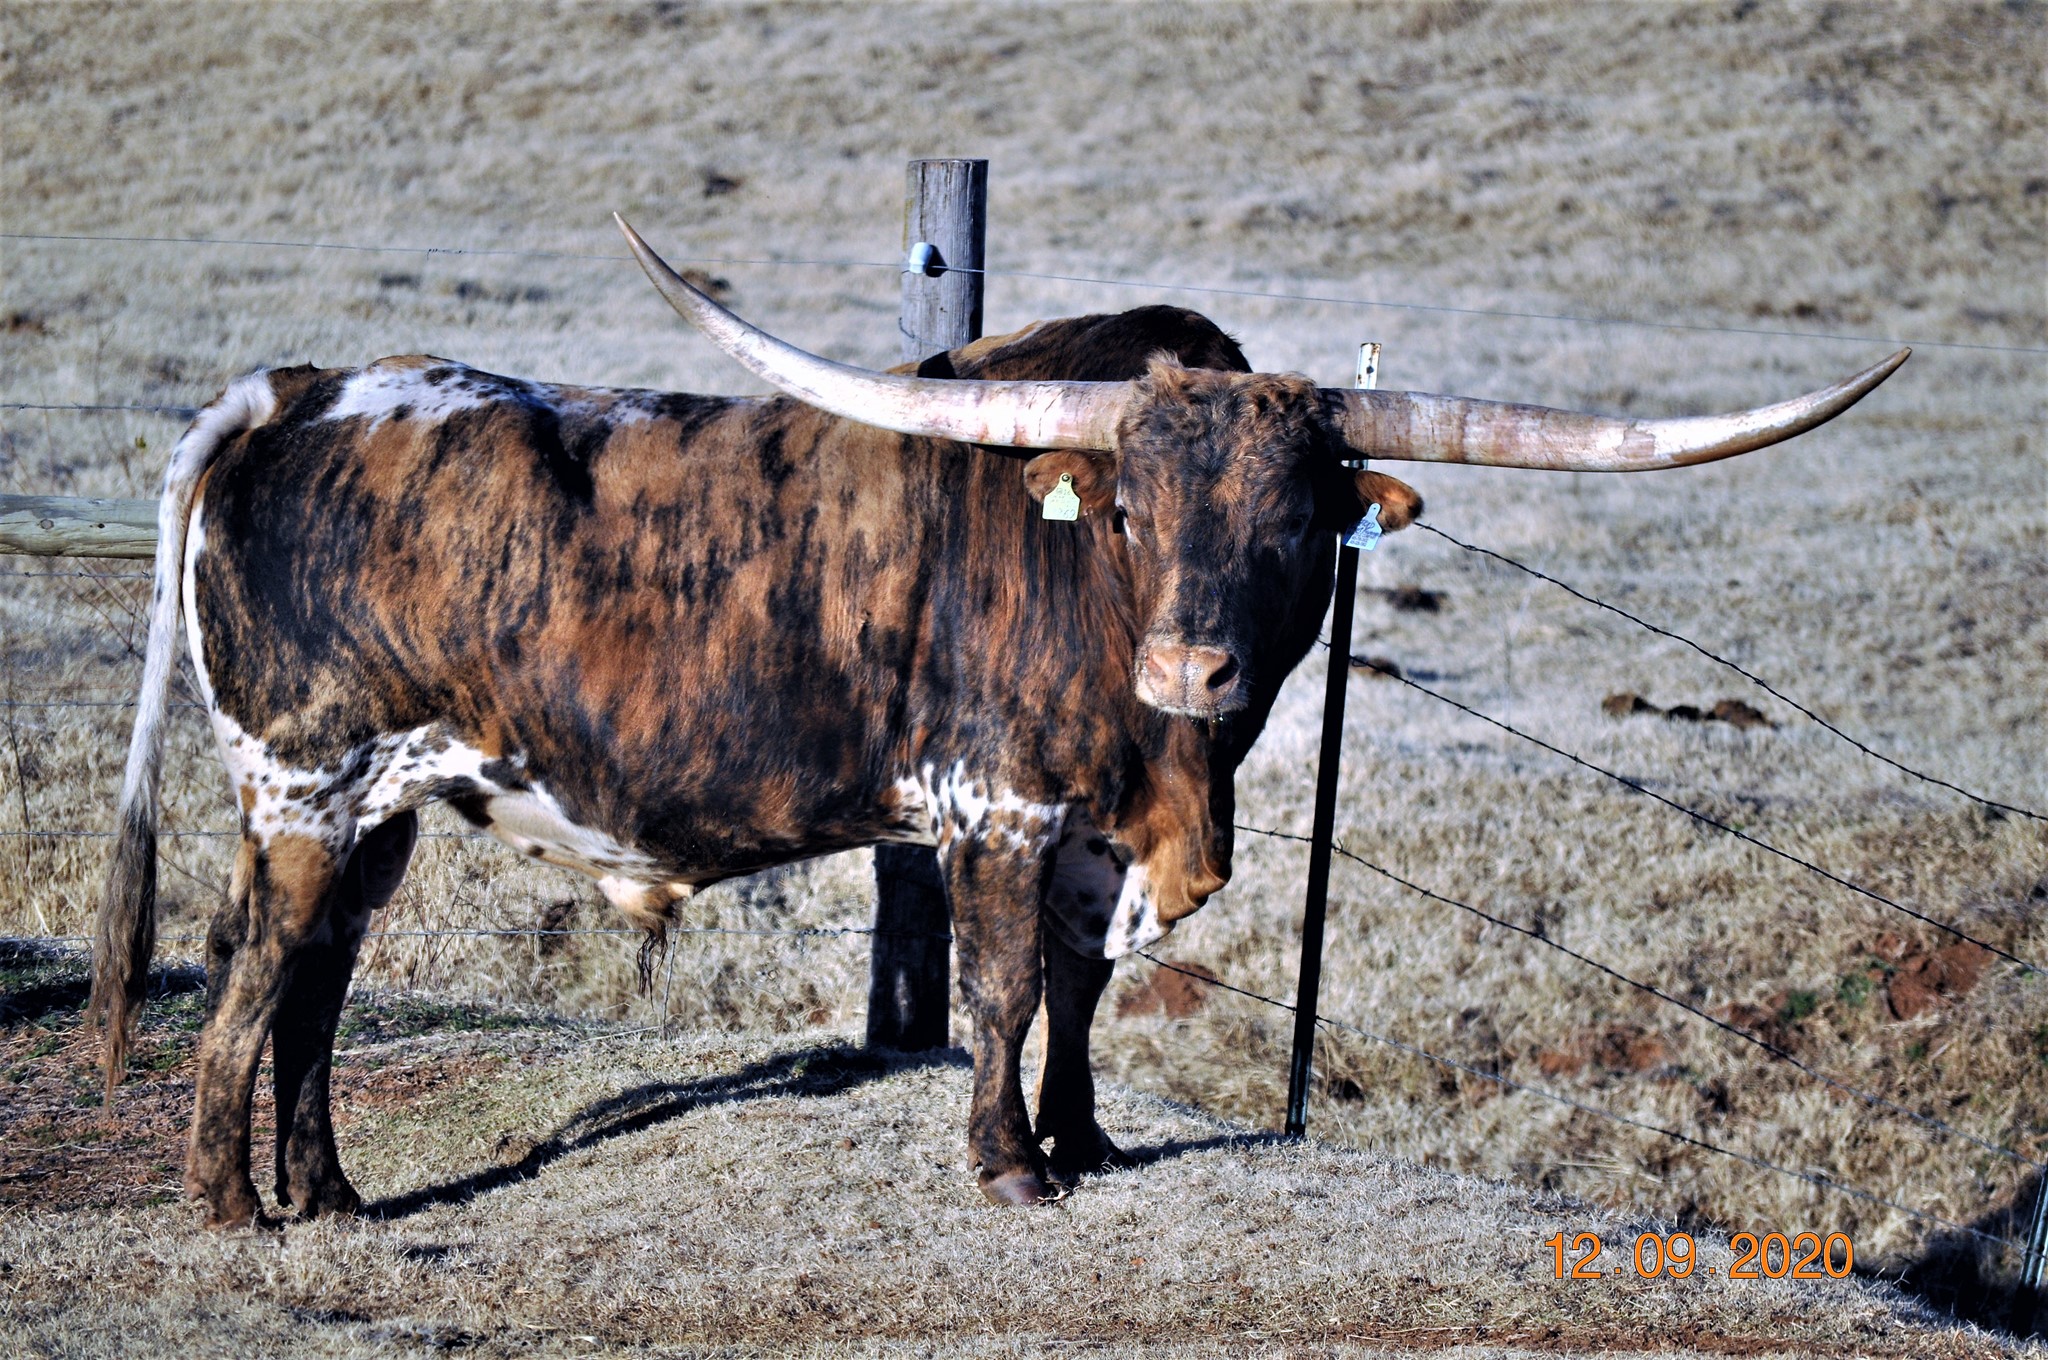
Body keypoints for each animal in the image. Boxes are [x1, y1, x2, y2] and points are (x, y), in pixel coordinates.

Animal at [88, 216, 1906, 1226]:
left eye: (1294, 520)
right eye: (1134, 509)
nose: (1192, 674)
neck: (1158, 750)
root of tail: (303, 388)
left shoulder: (1098, 831)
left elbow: (1087, 992)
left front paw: (1086, 1140)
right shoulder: (1001, 809)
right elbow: (1006, 987)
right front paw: (1011, 1165)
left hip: (377, 808)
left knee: (315, 992)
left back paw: (326, 1199)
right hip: (306, 790)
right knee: (255, 977)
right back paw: (230, 1210)